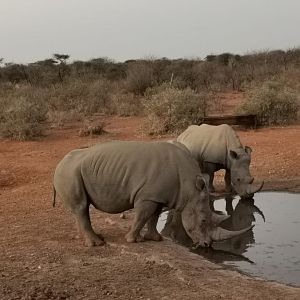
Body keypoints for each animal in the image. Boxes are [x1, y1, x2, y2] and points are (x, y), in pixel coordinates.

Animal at [52, 141, 250, 248]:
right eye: (202, 221)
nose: (206, 245)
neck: (190, 187)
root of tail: (58, 164)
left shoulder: (159, 196)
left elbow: (153, 217)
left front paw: (155, 239)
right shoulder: (147, 197)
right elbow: (142, 216)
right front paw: (132, 240)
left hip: (72, 171)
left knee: (80, 208)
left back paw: (92, 239)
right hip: (69, 173)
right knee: (81, 207)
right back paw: (97, 244)